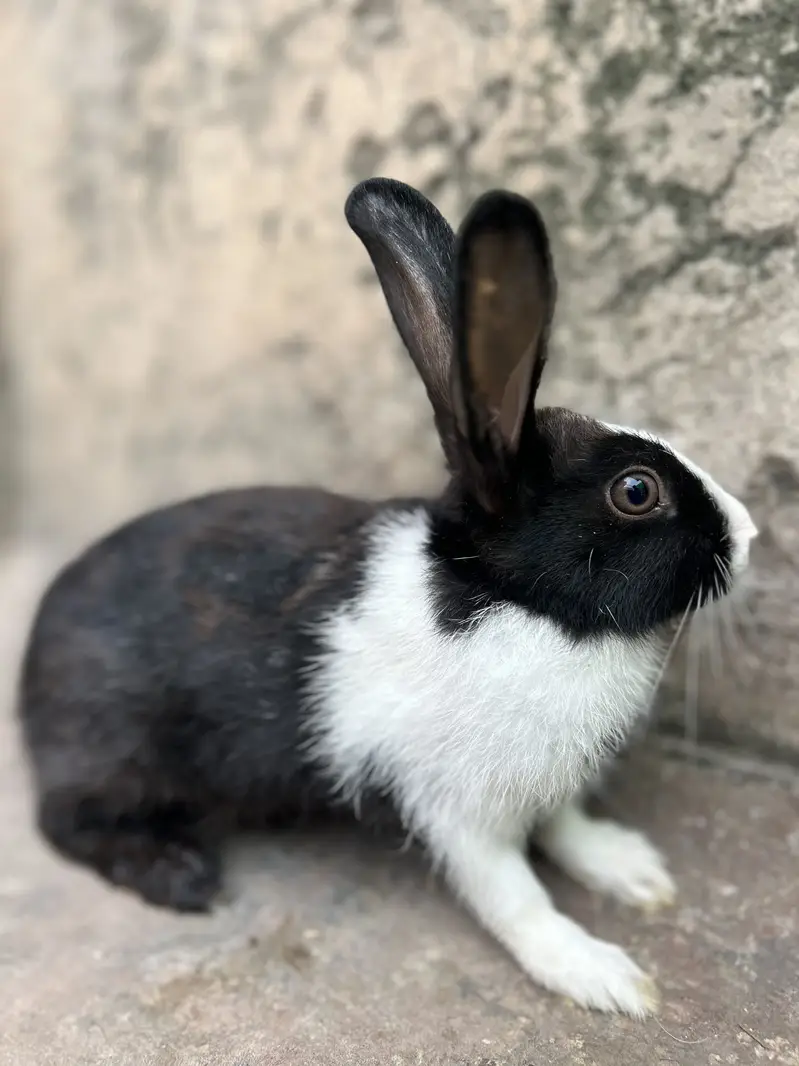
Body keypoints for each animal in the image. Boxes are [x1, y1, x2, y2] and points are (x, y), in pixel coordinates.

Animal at [18, 177, 758, 1018]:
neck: (525, 610)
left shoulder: (541, 784)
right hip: (120, 755)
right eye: (636, 492)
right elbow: (517, 901)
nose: (748, 532)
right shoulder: (458, 812)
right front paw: (602, 976)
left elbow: (566, 826)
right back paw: (178, 873)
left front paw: (631, 870)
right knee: (63, 823)